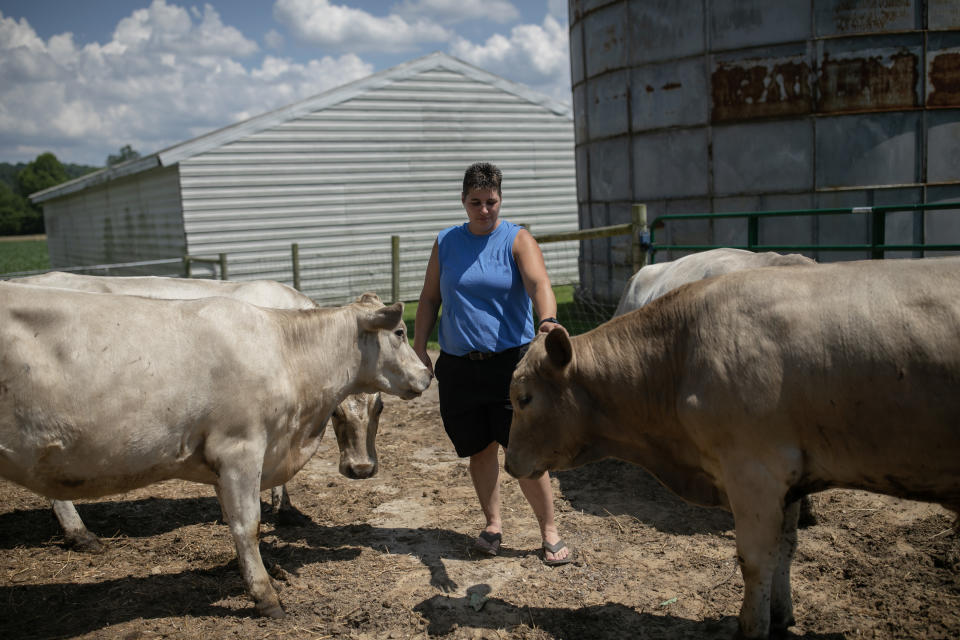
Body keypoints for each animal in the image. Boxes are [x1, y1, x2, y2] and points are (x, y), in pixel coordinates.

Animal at [506, 258, 956, 636]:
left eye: (524, 398)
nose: (509, 463)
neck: (678, 355)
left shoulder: (754, 471)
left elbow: (754, 559)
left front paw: (751, 626)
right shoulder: (790, 481)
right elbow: (785, 549)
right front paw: (781, 615)